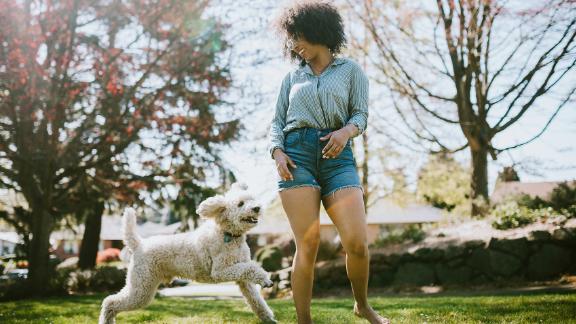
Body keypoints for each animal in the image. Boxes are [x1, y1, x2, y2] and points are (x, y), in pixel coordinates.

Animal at [99, 184, 276, 322]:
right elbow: (251, 268)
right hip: (141, 287)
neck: (228, 235)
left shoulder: (243, 280)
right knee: (109, 302)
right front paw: (265, 279)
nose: (257, 208)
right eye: (240, 204)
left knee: (111, 302)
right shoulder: (221, 271)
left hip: (142, 286)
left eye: (252, 199)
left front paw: (268, 318)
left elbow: (256, 300)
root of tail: (138, 244)